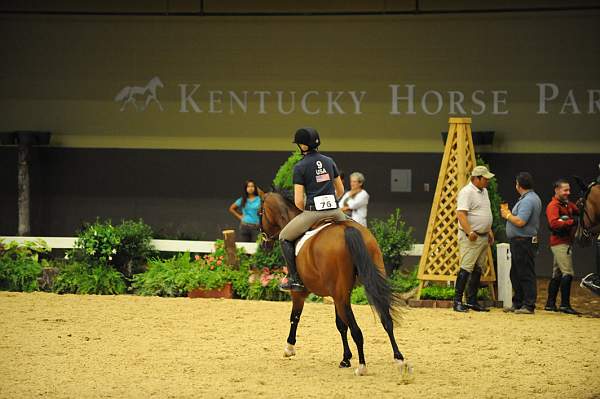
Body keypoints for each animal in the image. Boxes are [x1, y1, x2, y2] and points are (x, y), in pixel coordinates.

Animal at [258, 192, 412, 380]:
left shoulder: (300, 294)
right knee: (386, 320)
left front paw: (289, 348)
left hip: (341, 296)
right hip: (358, 286)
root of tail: (348, 230)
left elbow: (295, 317)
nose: (264, 243)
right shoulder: (335, 294)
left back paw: (362, 367)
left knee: (356, 330)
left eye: (260, 212)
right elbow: (340, 325)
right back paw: (399, 360)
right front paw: (345, 359)